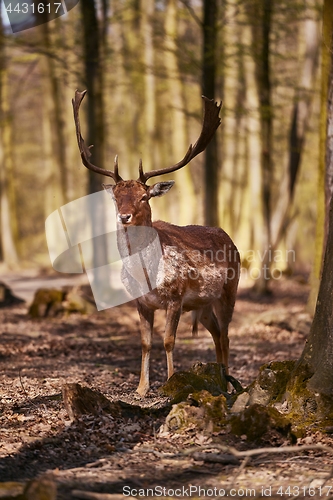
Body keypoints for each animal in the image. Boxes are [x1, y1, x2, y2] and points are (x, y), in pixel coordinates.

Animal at [72, 89, 239, 394]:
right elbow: (145, 342)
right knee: (216, 333)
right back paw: (221, 378)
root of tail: (229, 237)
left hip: (228, 291)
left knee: (226, 335)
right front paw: (141, 387)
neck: (146, 274)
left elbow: (168, 341)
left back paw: (230, 383)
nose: (124, 216)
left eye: (143, 196)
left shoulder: (175, 297)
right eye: (116, 196)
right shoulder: (141, 302)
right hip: (202, 304)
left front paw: (171, 382)